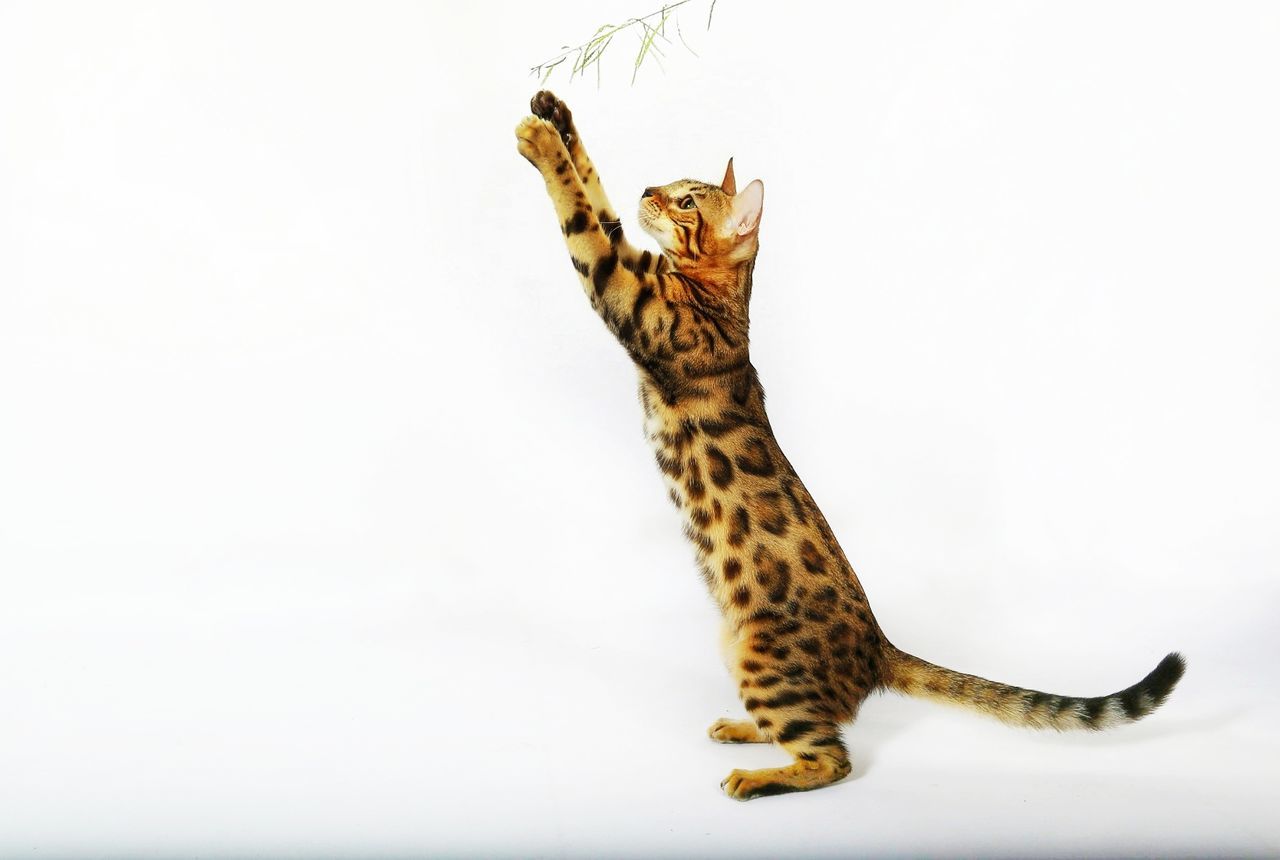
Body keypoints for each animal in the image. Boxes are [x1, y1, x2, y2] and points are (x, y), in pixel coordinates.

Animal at [514, 92, 1182, 798]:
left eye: (688, 201)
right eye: (668, 186)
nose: (649, 189)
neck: (715, 295)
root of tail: (879, 648)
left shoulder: (628, 295)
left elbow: (584, 220)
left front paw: (542, 143)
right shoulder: (634, 272)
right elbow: (601, 203)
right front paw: (557, 115)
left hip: (759, 656)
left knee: (831, 757)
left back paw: (755, 778)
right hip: (736, 648)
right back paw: (742, 730)